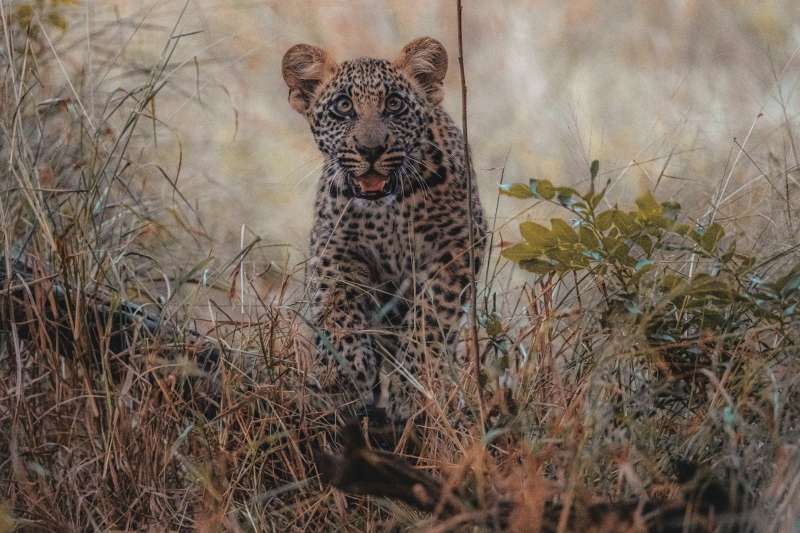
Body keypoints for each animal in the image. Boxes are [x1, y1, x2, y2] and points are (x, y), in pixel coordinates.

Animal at [281, 37, 486, 422]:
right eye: (343, 106)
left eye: (394, 104)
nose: (371, 149)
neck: (387, 211)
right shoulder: (332, 245)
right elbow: (336, 306)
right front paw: (343, 371)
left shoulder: (458, 244)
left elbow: (431, 316)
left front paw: (415, 386)